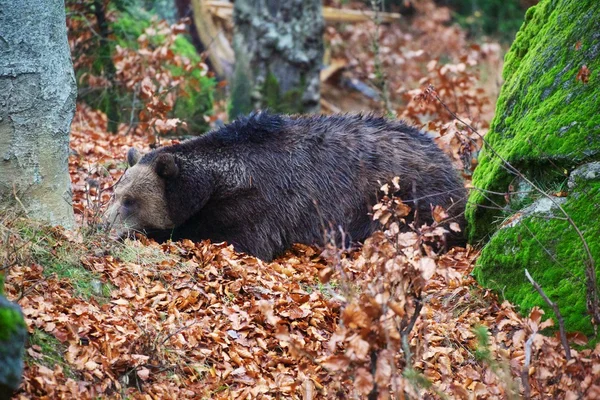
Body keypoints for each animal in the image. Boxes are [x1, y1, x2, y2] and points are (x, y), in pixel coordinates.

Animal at [105, 113, 466, 262]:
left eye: (130, 201)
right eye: (116, 194)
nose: (103, 225)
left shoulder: (261, 204)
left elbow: (238, 239)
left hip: (406, 198)